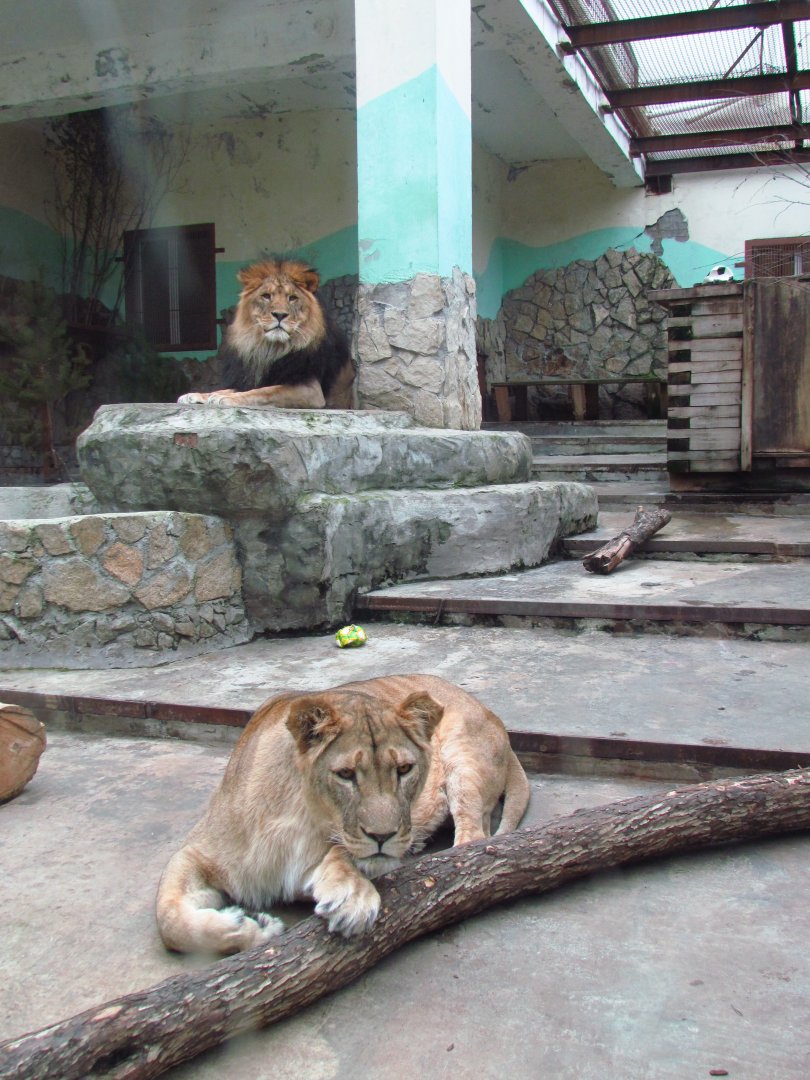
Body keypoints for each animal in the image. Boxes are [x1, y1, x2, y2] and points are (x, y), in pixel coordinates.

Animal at [155, 674, 530, 954]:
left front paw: (351, 895)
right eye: (346, 775)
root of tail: (493, 716)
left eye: (404, 769)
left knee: (472, 839)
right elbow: (169, 919)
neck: (296, 817)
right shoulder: (196, 851)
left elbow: (343, 852)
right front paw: (252, 927)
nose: (384, 837)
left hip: (462, 759)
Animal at [177, 258, 356, 409]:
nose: (279, 315)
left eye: (292, 298)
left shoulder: (311, 390)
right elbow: (235, 388)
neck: (270, 349)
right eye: (266, 296)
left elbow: (266, 391)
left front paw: (228, 398)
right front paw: (198, 395)